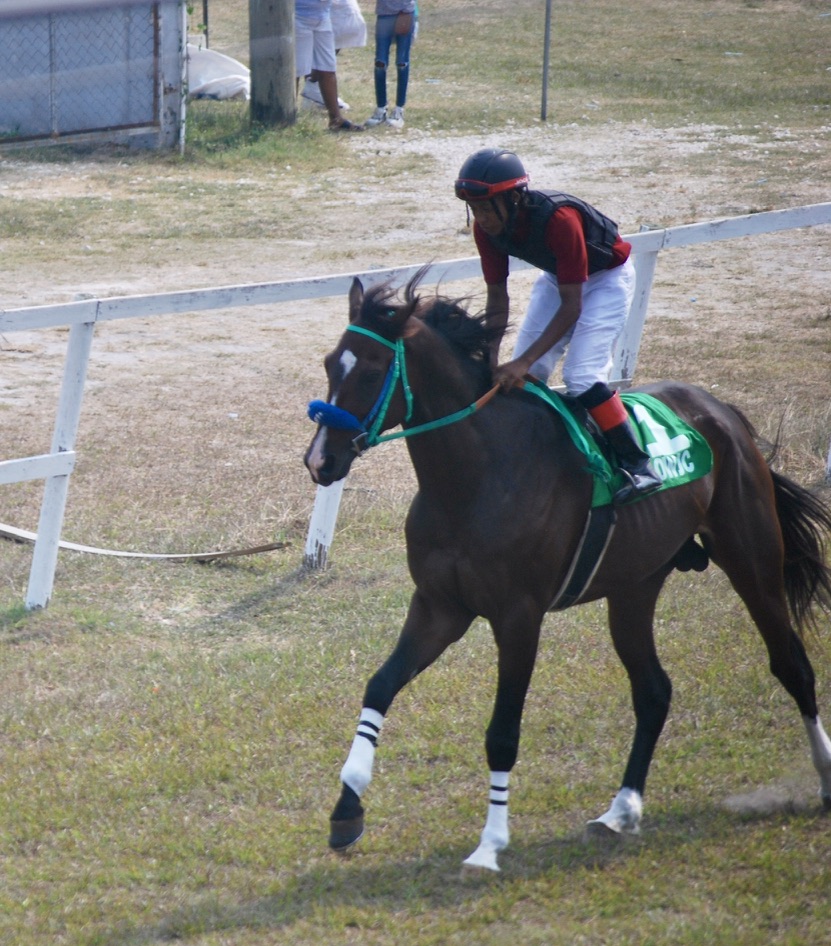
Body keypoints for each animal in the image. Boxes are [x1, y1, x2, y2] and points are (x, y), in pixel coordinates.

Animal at [304, 274, 831, 872]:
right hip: (635, 585)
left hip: (751, 556)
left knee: (791, 664)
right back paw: (620, 810)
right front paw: (347, 809)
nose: (320, 461)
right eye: (330, 364)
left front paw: (489, 845)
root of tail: (721, 410)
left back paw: (823, 780)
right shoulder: (441, 607)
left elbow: (503, 733)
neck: (476, 477)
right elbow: (380, 685)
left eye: (371, 371)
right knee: (653, 691)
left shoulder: (518, 617)